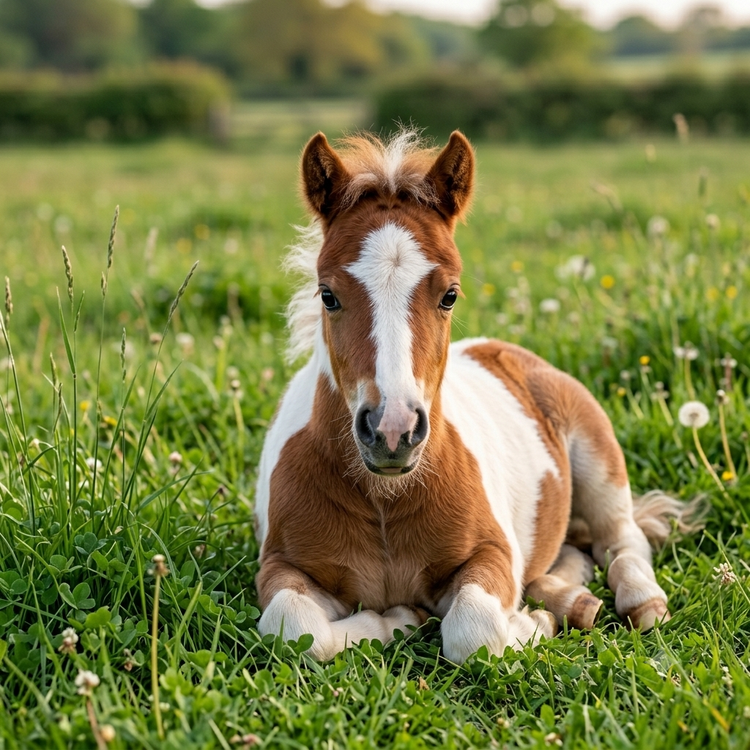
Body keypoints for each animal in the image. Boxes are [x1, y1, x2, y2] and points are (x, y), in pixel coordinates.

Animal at [254, 129, 694, 663]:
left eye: (450, 295)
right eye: (327, 295)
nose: (392, 432)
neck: (386, 501)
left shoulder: (494, 551)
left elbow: (474, 628)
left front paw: (531, 623)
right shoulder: (279, 562)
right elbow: (295, 629)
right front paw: (399, 619)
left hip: (599, 455)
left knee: (620, 536)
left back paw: (637, 601)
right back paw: (572, 601)